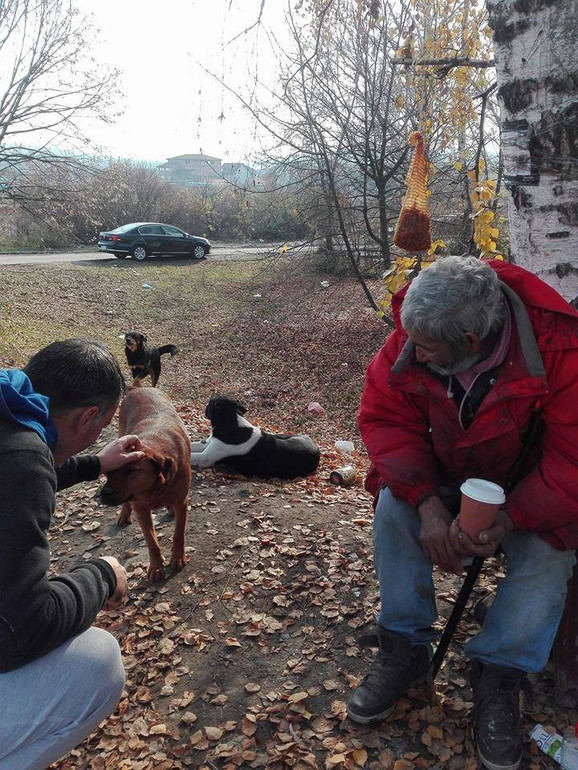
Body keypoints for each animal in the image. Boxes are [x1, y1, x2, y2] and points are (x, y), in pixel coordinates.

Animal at [98, 388, 190, 580]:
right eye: (108, 472)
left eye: (131, 471)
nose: (102, 495)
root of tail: (138, 388)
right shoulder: (140, 509)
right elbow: (151, 541)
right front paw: (156, 567)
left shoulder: (182, 501)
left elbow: (179, 533)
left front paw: (177, 557)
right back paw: (124, 514)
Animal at [191, 392, 322, 476]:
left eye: (210, 402)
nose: (206, 406)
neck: (231, 421)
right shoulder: (206, 443)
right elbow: (192, 445)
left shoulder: (205, 458)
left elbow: (192, 455)